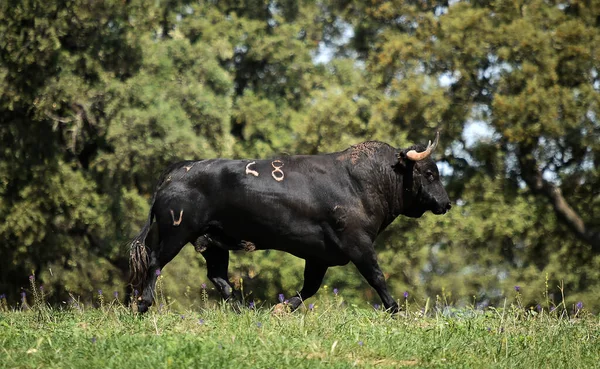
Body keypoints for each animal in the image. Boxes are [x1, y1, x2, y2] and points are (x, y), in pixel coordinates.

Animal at [131, 131, 450, 312]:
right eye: (429, 173)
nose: (446, 203)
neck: (363, 182)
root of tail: (180, 168)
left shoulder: (320, 255)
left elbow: (309, 287)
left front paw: (281, 309)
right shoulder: (357, 242)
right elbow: (377, 276)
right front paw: (395, 309)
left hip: (212, 242)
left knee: (218, 277)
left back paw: (244, 311)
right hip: (176, 232)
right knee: (155, 262)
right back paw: (144, 303)